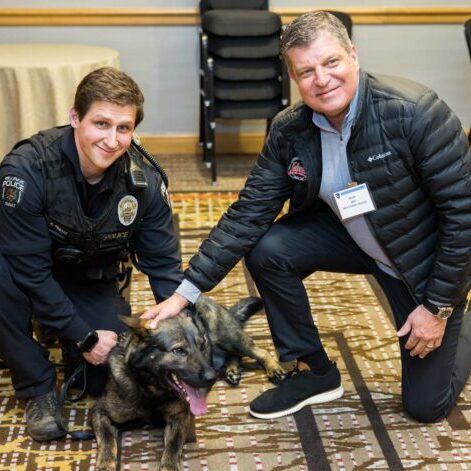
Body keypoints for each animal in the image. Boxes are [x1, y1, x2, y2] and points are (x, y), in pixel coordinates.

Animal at [91, 296, 284, 470]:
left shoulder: (181, 416)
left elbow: (173, 447)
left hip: (230, 339)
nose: (212, 377)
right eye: (179, 351)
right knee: (235, 356)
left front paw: (169, 466)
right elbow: (107, 441)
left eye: (202, 346)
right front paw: (105, 464)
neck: (152, 390)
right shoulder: (99, 412)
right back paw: (232, 370)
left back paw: (273, 368)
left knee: (260, 351)